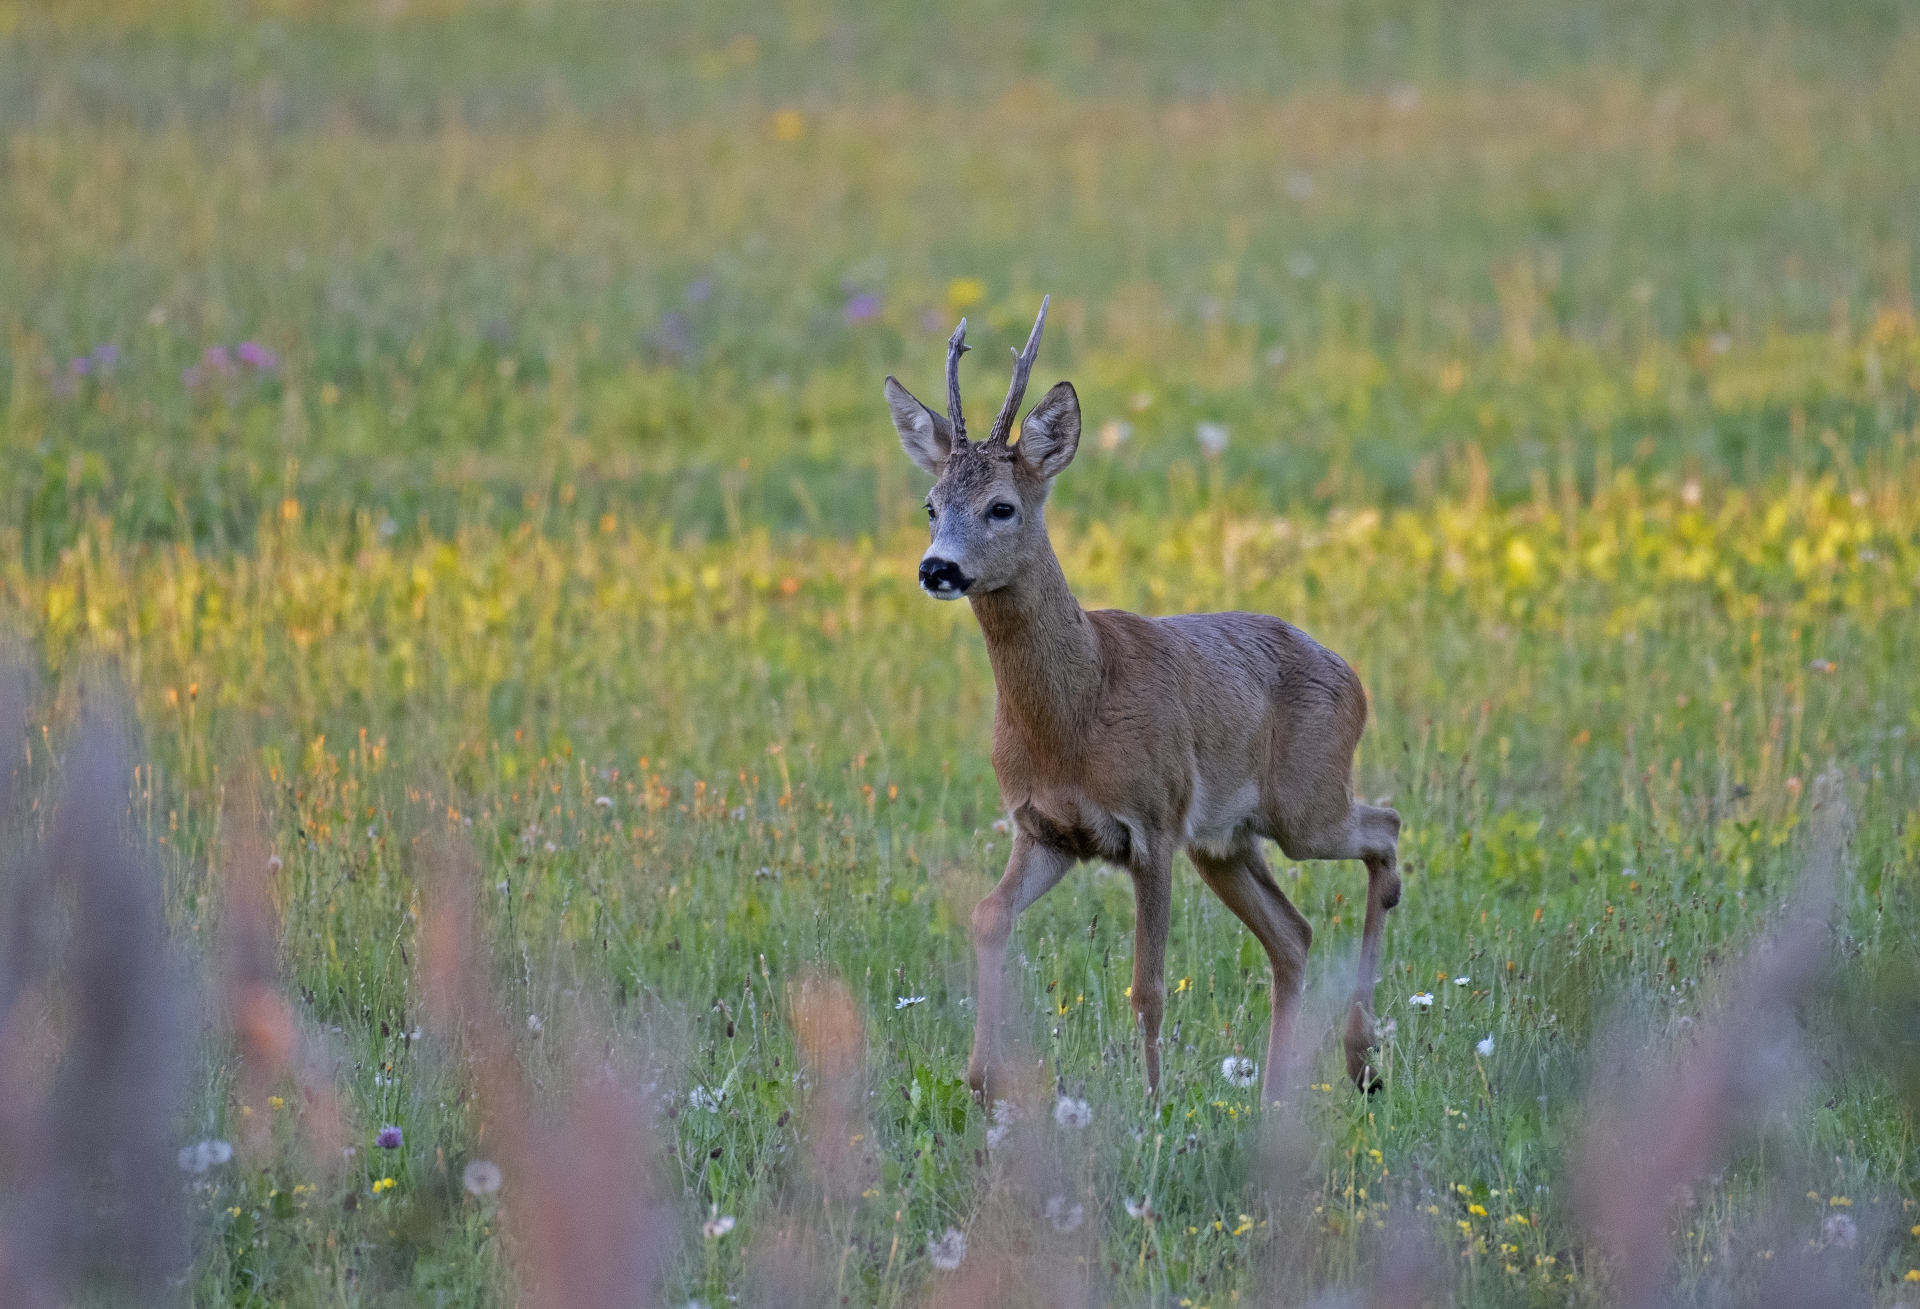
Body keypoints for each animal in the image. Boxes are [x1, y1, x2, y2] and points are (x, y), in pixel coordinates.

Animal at [879, 293, 1397, 1090]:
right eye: (931, 505)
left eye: (1002, 506)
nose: (937, 568)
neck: (1075, 710)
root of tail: (1352, 675)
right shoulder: (1045, 828)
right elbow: (987, 916)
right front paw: (982, 1080)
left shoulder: (1153, 822)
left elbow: (1147, 983)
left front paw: (1152, 1102)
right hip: (1225, 839)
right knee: (1294, 932)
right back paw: (1280, 1095)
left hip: (1304, 802)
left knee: (1386, 830)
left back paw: (1360, 1056)